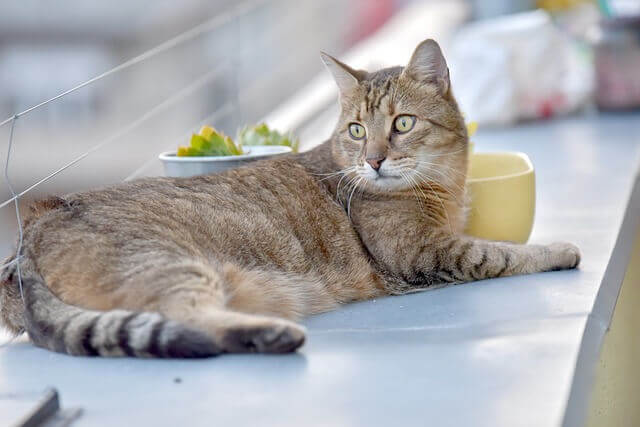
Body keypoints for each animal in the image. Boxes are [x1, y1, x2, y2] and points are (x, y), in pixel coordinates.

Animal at [0, 40, 580, 358]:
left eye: (402, 123)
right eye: (355, 130)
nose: (373, 160)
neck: (444, 185)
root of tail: (33, 232)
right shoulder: (424, 252)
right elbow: (499, 252)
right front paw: (559, 249)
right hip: (173, 265)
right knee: (189, 321)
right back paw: (275, 333)